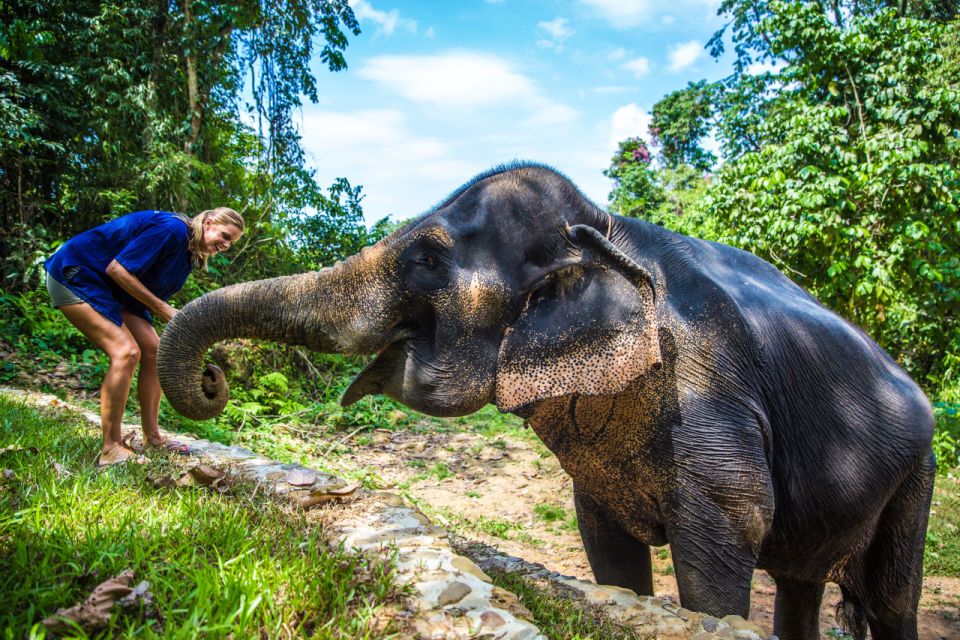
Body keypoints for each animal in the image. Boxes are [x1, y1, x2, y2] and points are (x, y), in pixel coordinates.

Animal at [159, 162, 936, 636]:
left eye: (427, 259)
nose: (213, 380)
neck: (609, 227)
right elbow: (609, 549)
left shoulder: (712, 388)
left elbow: (726, 531)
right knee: (803, 585)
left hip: (919, 471)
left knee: (891, 596)